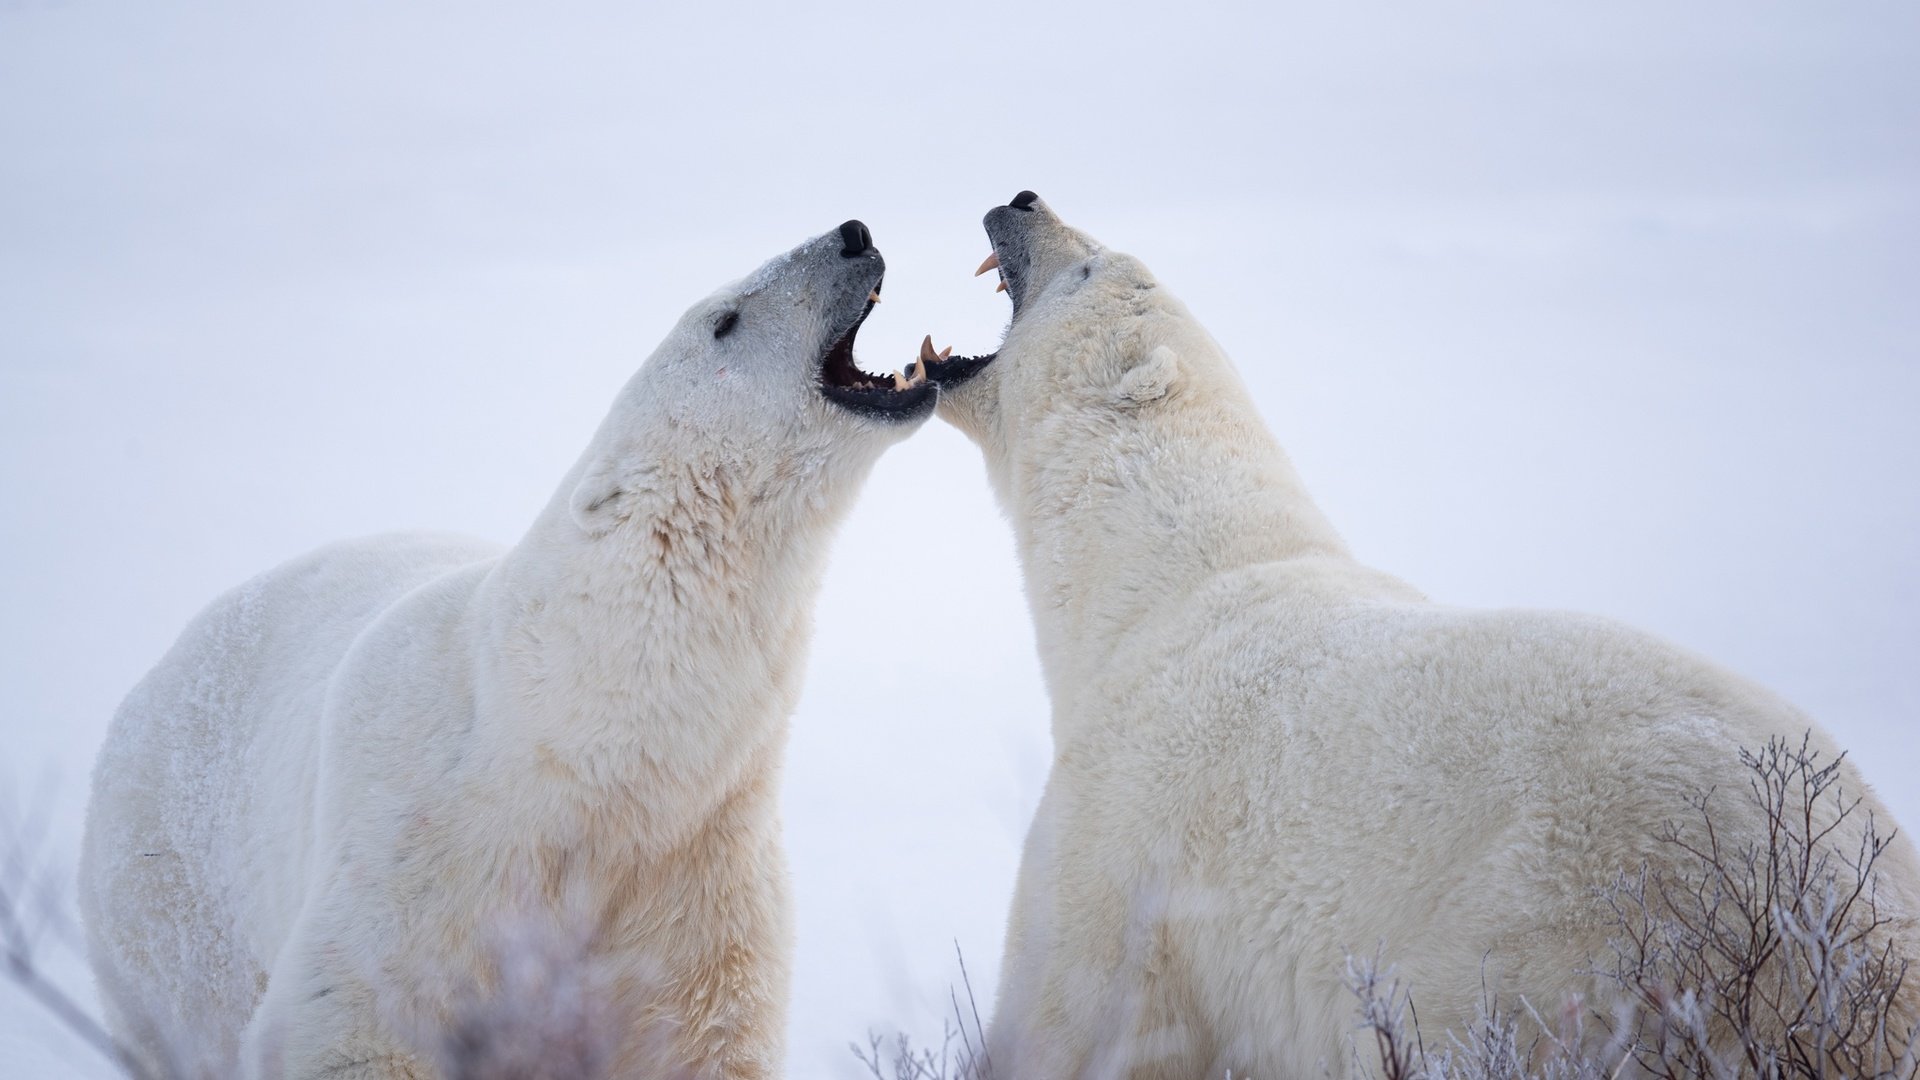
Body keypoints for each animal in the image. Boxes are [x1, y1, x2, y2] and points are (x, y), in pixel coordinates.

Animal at [82, 219, 936, 1076]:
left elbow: (700, 1040)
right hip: (173, 897)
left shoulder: (702, 875)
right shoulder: (417, 868)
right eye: (725, 319)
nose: (853, 232)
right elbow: (355, 1021)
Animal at [917, 195, 1920, 1076]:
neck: (1153, 582)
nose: (1023, 199)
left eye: (1089, 266)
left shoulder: (1124, 849)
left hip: (1566, 938)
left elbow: (1074, 1023)